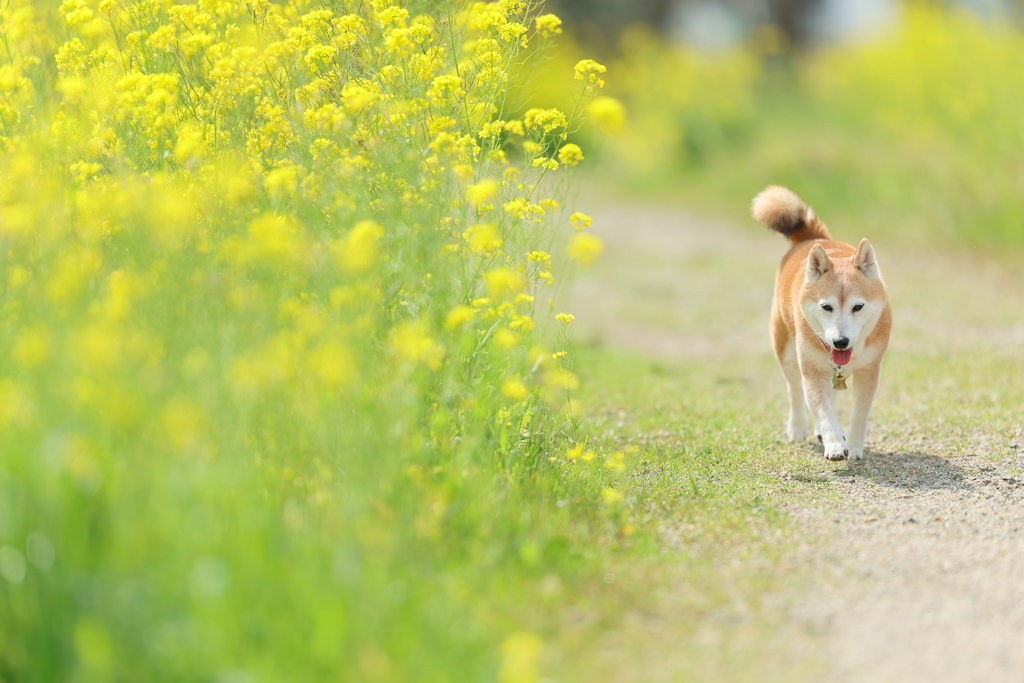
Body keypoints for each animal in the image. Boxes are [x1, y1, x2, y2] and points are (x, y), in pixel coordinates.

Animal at [749, 187, 892, 462]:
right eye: (827, 307)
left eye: (858, 307)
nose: (840, 342)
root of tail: (810, 237)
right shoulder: (812, 371)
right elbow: (823, 411)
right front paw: (835, 443)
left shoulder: (869, 370)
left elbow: (859, 413)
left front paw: (854, 446)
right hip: (786, 351)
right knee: (795, 391)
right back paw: (798, 427)